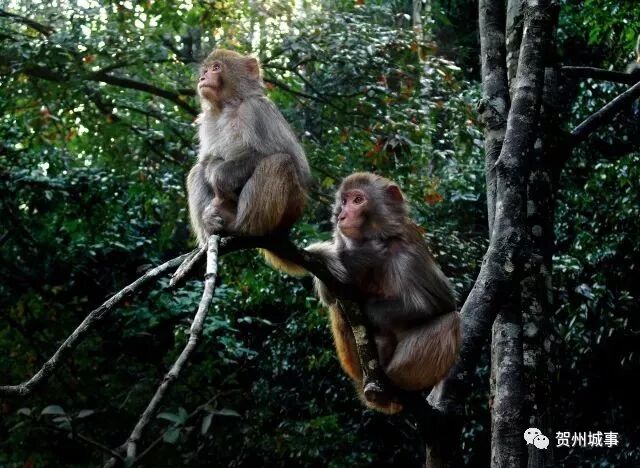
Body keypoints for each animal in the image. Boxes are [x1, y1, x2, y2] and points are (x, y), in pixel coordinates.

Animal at [187, 49, 311, 273]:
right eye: (205, 70)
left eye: (216, 68)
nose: (202, 78)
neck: (228, 106)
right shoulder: (207, 122)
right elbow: (206, 160)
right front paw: (210, 169)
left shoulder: (256, 110)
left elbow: (286, 157)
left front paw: (218, 176)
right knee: (196, 171)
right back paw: (210, 227)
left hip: (291, 208)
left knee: (280, 162)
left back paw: (241, 227)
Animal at [307, 173, 461, 414]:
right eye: (344, 201)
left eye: (358, 200)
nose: (341, 215)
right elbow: (329, 293)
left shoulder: (406, 251)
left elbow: (438, 303)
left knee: (451, 320)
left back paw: (394, 381)